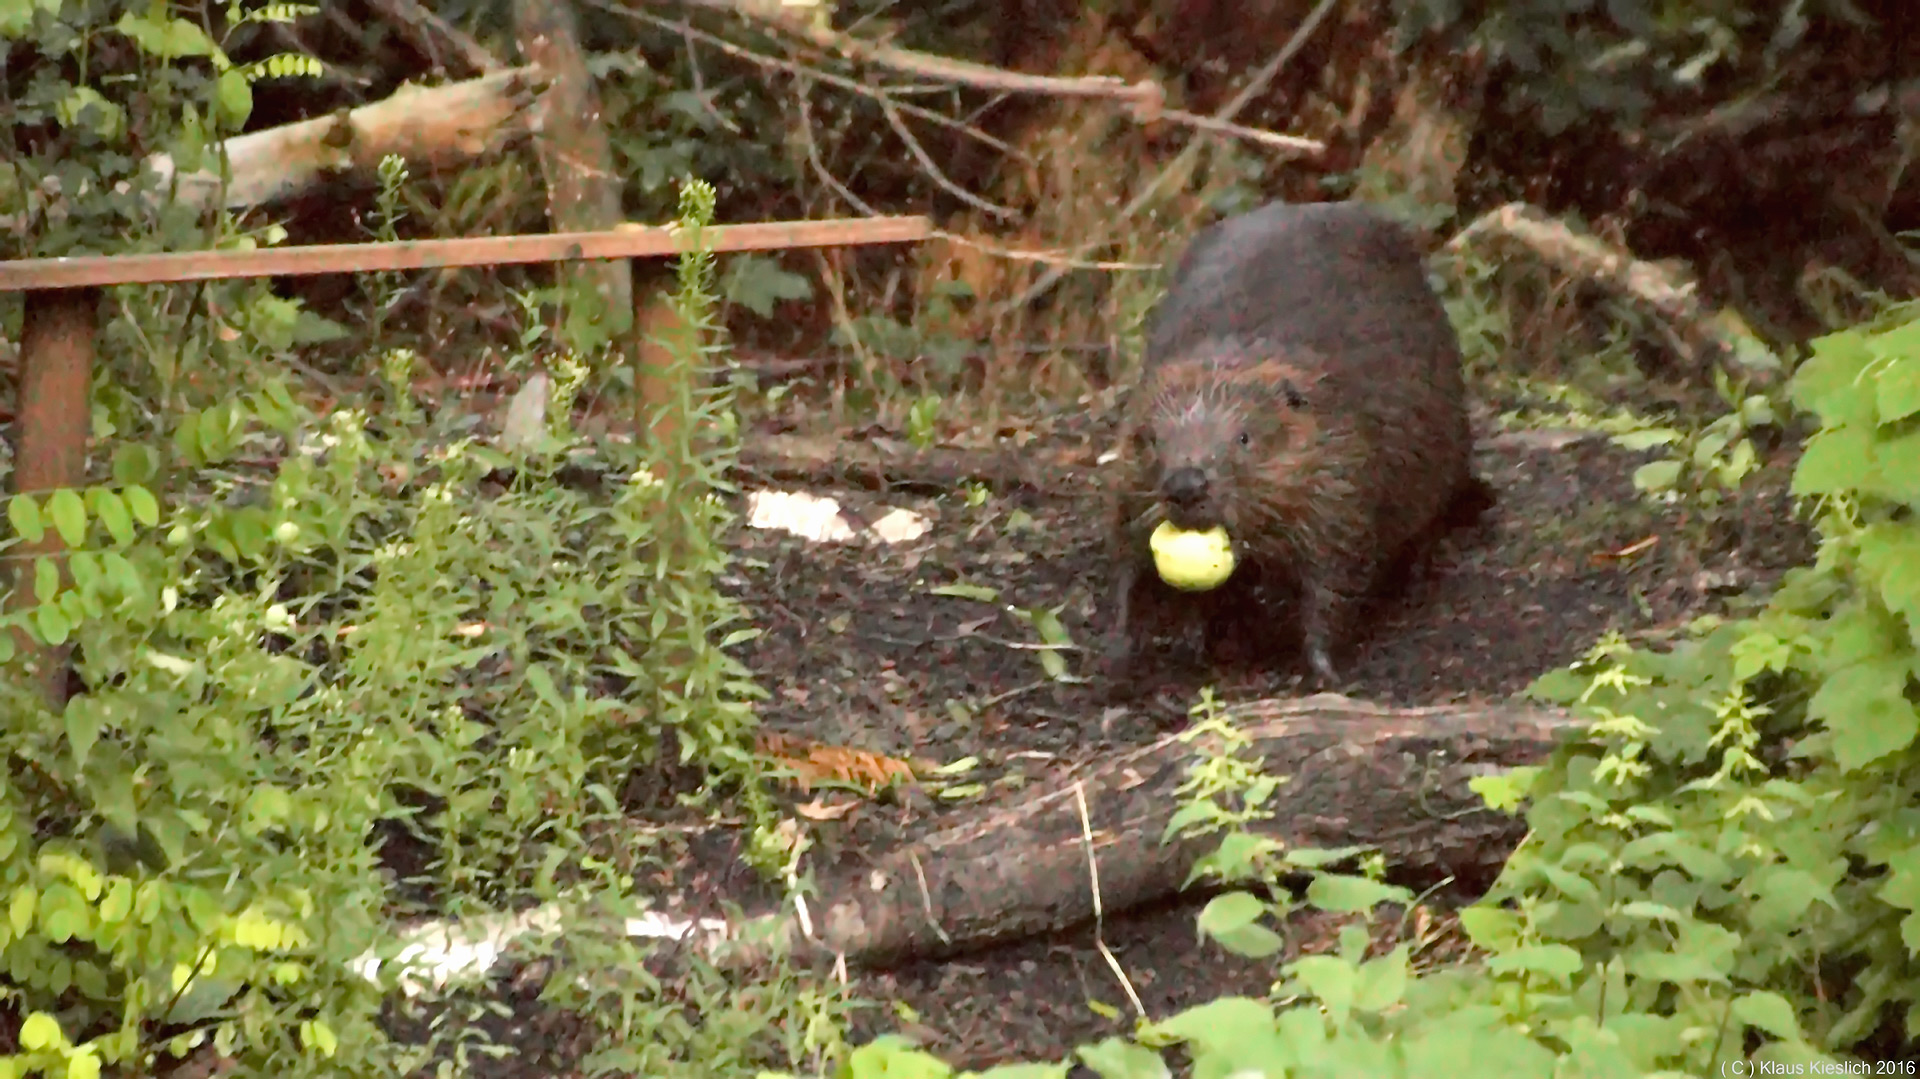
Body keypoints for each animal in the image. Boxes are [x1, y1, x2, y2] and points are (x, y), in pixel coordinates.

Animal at [1105, 200, 1489, 687]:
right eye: (1152, 439)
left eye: (1244, 437)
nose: (1186, 485)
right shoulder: (1126, 476)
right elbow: (1125, 555)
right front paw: (1133, 650)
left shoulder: (1342, 477)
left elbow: (1337, 575)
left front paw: (1325, 670)